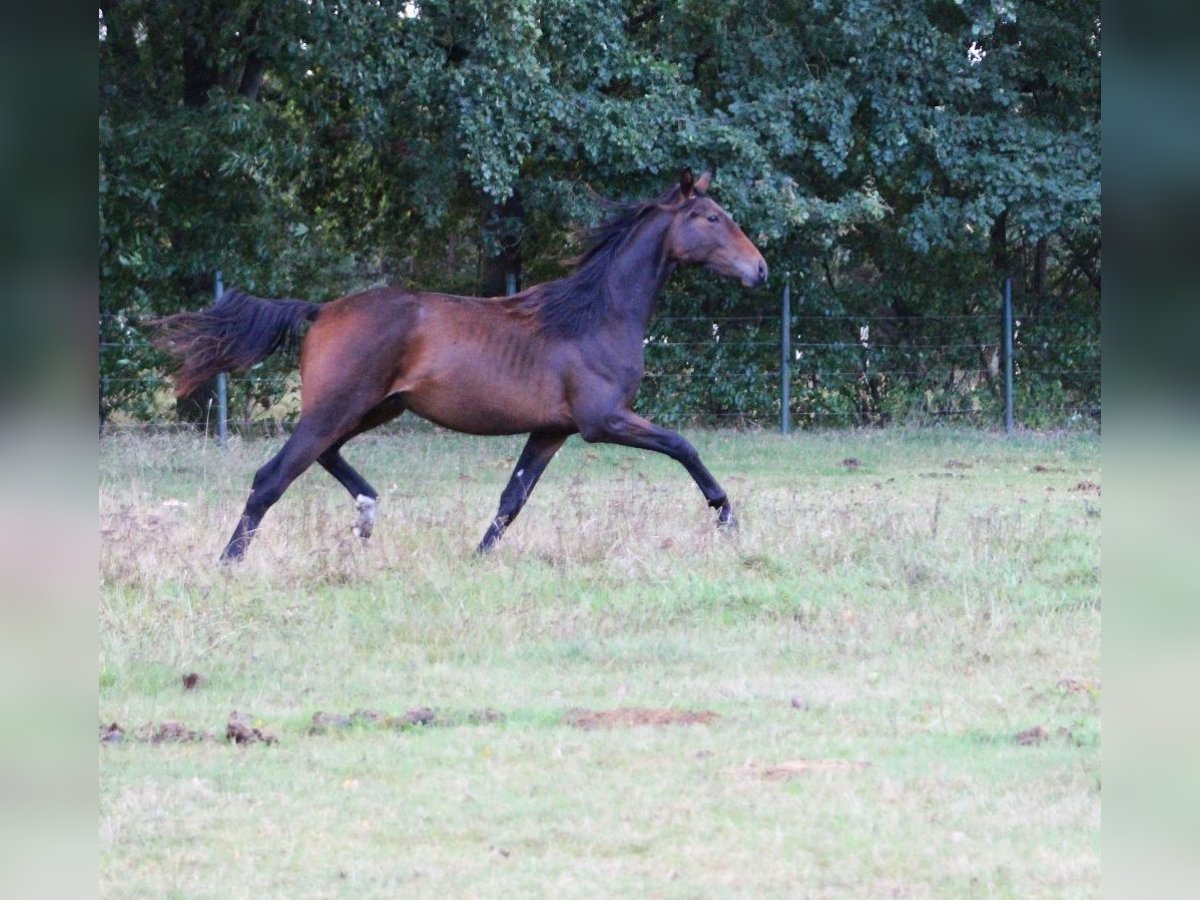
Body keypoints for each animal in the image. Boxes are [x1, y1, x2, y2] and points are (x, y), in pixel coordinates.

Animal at [154, 169, 768, 561]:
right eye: (711, 217)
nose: (759, 269)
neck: (595, 316)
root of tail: (322, 309)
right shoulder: (604, 421)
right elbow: (684, 446)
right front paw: (728, 518)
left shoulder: (552, 430)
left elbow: (512, 499)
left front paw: (479, 556)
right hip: (340, 406)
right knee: (271, 478)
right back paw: (229, 562)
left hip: (372, 408)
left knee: (323, 456)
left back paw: (367, 511)